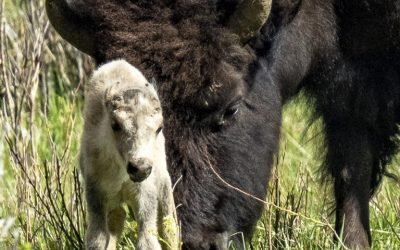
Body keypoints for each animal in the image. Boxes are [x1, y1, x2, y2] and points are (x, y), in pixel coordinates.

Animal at [79, 59, 177, 249]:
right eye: (115, 124)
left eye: (159, 128)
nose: (140, 168)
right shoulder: (96, 193)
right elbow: (98, 238)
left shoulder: (145, 194)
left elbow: (148, 239)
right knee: (118, 218)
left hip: (164, 187)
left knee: (169, 229)